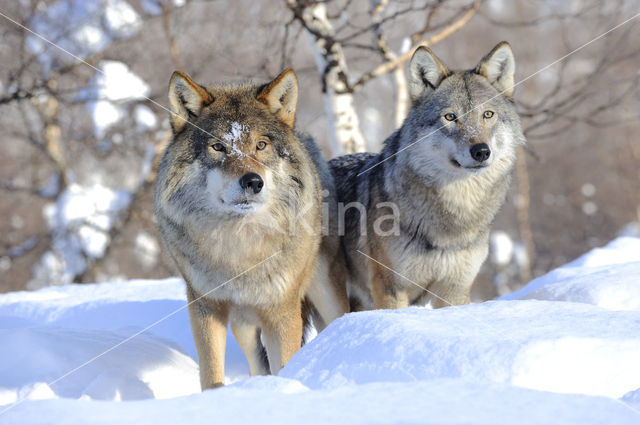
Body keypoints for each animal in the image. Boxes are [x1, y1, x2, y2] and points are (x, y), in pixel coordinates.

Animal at [154, 68, 348, 388]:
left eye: (261, 145)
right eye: (218, 146)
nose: (253, 181)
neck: (240, 250)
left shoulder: (282, 312)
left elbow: (285, 364)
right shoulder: (205, 306)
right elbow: (211, 375)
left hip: (326, 299)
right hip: (243, 324)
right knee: (257, 364)